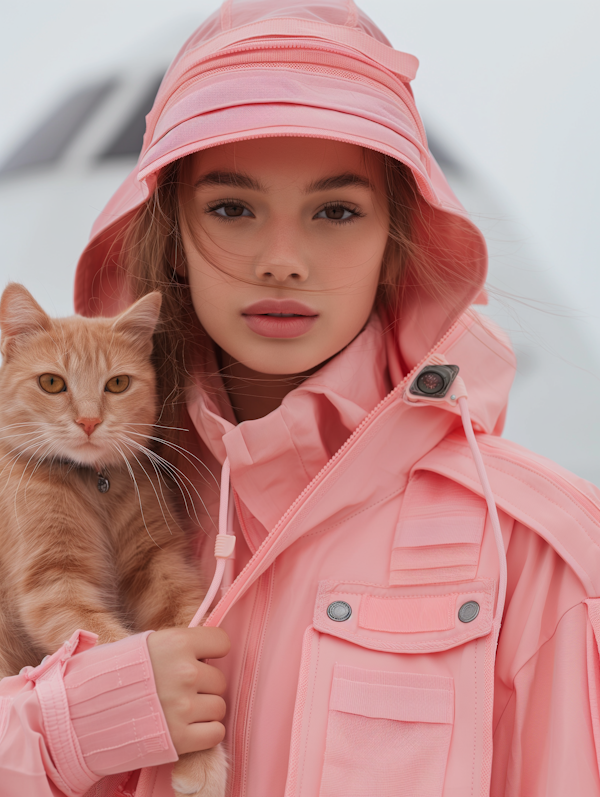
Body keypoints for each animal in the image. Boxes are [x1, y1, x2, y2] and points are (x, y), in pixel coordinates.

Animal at [0, 282, 226, 796]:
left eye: (118, 384)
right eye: (52, 383)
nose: (88, 422)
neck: (93, 483)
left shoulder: (160, 567)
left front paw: (203, 760)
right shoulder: (54, 586)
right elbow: (111, 643)